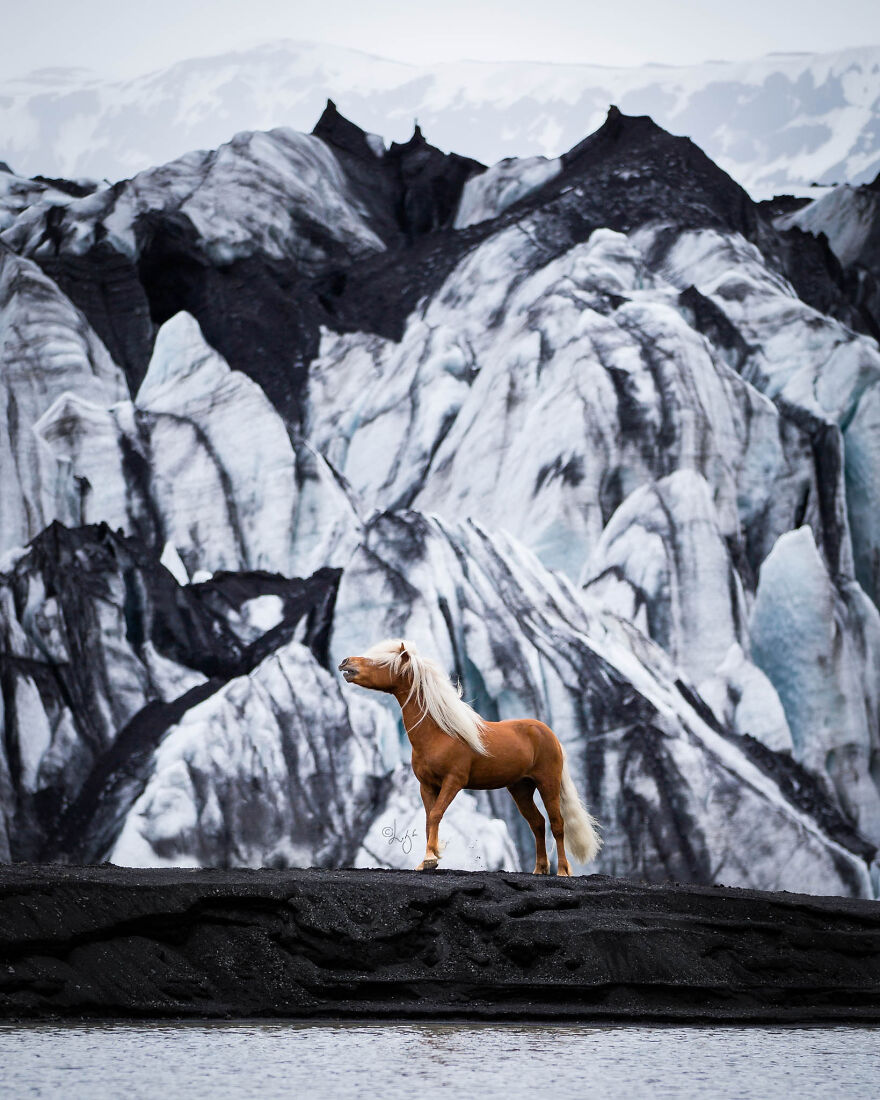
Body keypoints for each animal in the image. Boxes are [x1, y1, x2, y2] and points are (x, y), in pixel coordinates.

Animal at [338, 638, 601, 875]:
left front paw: (431, 859)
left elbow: (436, 814)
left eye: (380, 661)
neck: (439, 733)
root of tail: (547, 733)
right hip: (521, 788)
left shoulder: (454, 781)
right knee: (537, 823)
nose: (345, 662)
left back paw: (563, 871)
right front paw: (427, 860)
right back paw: (539, 869)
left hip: (548, 782)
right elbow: (428, 819)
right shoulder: (426, 785)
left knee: (557, 824)